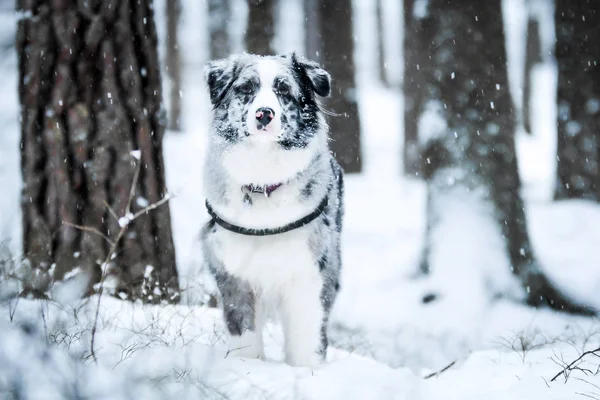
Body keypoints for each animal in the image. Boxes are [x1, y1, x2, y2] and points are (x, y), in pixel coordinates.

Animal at [200, 54, 344, 368]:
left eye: (284, 91)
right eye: (246, 89)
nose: (264, 114)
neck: (263, 182)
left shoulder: (310, 272)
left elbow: (306, 337)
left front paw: (307, 369)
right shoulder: (233, 271)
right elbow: (244, 333)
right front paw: (247, 364)